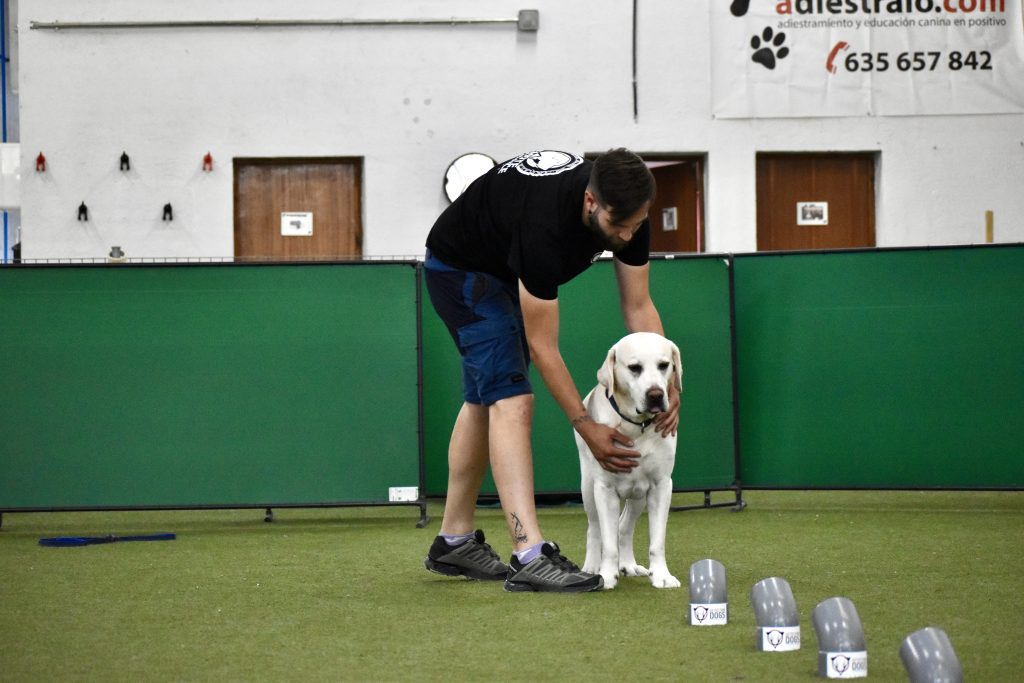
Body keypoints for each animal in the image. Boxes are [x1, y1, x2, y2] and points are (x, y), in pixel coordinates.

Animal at [577, 333, 679, 589]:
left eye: (664, 365)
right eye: (634, 368)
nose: (656, 395)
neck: (636, 427)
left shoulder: (661, 486)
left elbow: (657, 541)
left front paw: (661, 576)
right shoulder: (604, 489)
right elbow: (608, 543)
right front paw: (606, 576)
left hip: (638, 496)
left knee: (624, 527)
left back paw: (628, 565)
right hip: (588, 487)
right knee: (594, 529)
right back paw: (591, 567)